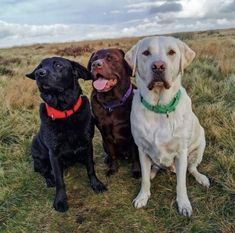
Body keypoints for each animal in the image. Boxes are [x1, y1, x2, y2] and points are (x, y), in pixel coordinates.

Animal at [26, 57, 106, 213]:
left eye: (58, 65)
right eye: (39, 66)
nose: (39, 73)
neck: (65, 112)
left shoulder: (87, 144)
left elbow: (90, 169)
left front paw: (96, 184)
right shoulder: (54, 154)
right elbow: (59, 180)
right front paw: (60, 200)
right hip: (39, 159)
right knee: (44, 172)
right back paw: (49, 180)